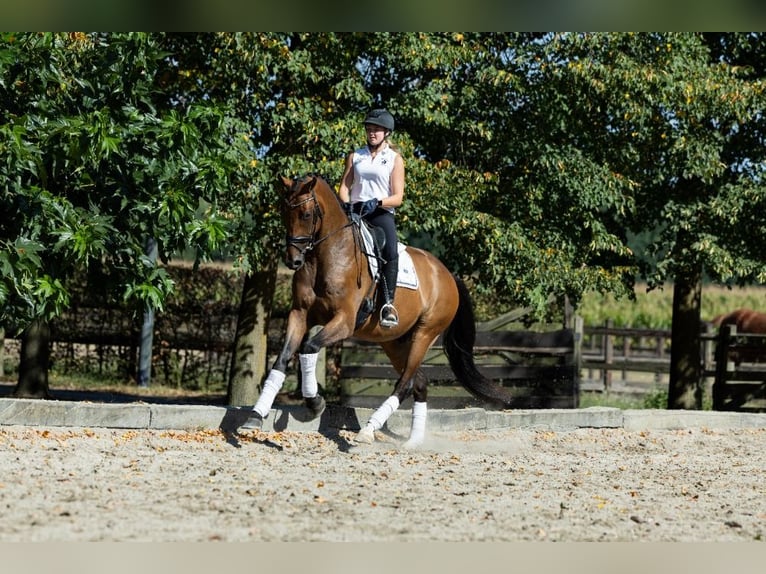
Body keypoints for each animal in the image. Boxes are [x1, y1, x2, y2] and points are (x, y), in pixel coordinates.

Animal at [246, 174, 515, 448]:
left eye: (307, 214)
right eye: (283, 212)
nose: (293, 261)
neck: (325, 257)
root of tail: (447, 274)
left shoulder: (344, 321)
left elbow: (308, 347)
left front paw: (315, 402)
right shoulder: (300, 314)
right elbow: (282, 359)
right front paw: (256, 415)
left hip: (425, 334)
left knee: (405, 383)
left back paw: (368, 431)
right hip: (394, 342)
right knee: (419, 383)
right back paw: (414, 441)